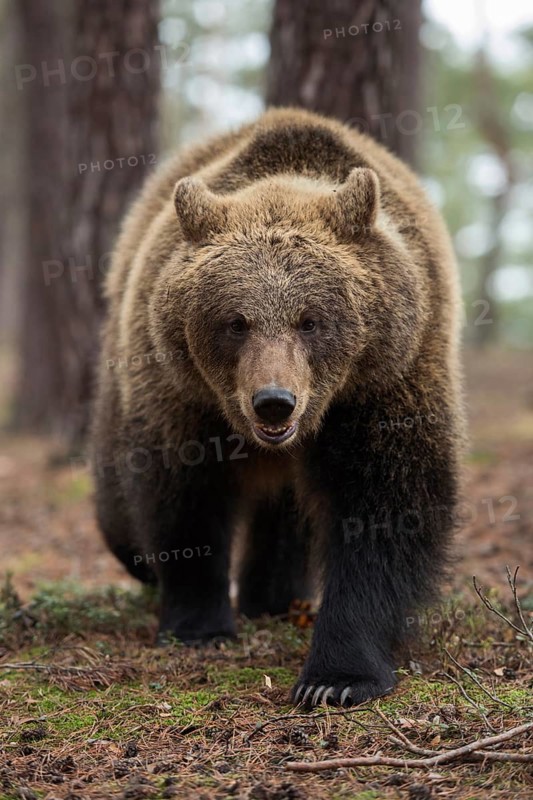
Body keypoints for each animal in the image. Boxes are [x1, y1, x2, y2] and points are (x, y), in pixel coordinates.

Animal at [91, 107, 464, 708]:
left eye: (311, 319)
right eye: (235, 321)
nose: (273, 402)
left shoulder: (389, 379)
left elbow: (387, 506)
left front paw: (335, 677)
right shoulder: (181, 395)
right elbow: (183, 497)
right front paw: (198, 625)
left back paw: (273, 597)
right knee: (118, 509)